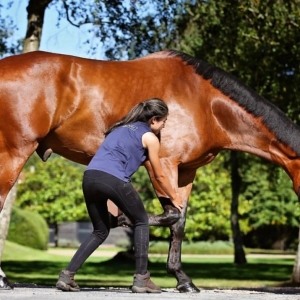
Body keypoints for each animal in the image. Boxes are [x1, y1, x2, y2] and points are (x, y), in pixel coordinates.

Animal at [0, 49, 300, 292]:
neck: (204, 102)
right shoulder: (164, 163)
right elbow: (170, 215)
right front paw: (122, 220)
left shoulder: (186, 171)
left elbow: (179, 221)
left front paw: (182, 279)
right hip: (14, 152)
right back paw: (4, 279)